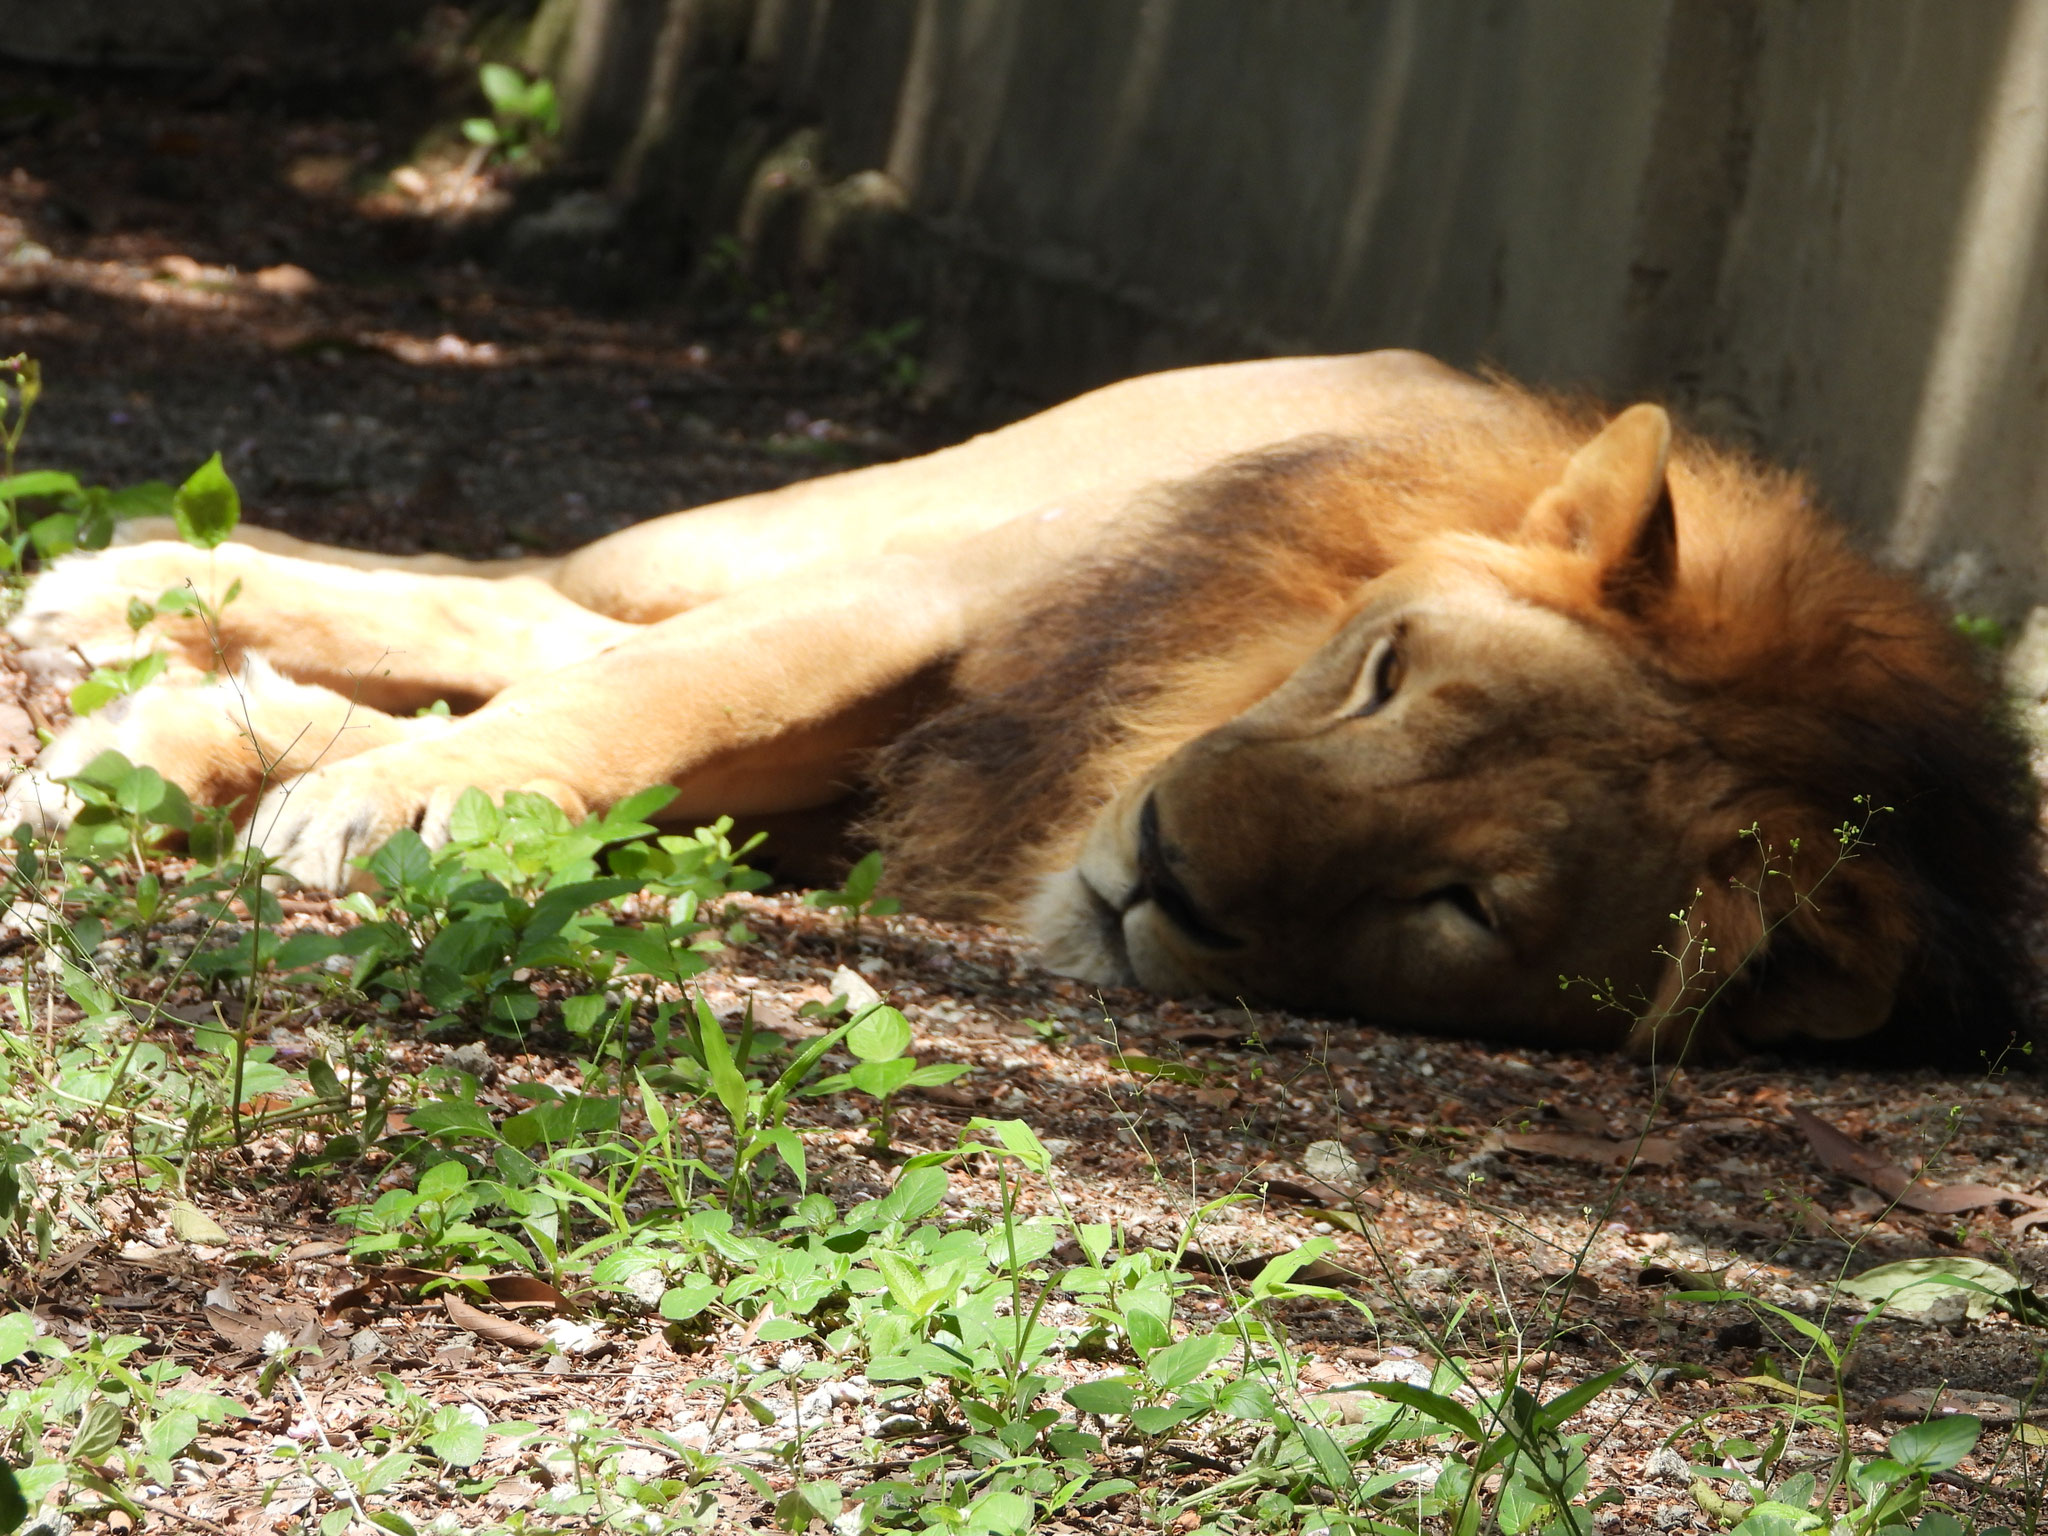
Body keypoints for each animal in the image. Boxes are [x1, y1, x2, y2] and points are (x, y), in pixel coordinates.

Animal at [5, 351, 2039, 1061]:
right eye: (1386, 676)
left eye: (1460, 903)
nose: (1164, 870)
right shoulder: (944, 605)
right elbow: (670, 689)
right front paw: (373, 796)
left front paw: (242, 761)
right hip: (846, 515)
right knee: (541, 596)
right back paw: (114, 590)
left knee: (539, 628)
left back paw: (147, 694)